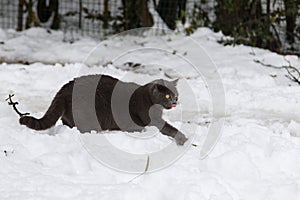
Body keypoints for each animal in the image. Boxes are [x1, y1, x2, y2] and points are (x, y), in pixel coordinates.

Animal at [19, 74, 188, 145]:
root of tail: (64, 89)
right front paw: (184, 140)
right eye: (167, 95)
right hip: (87, 116)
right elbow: (169, 128)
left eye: (176, 95)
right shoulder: (152, 120)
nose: (174, 101)